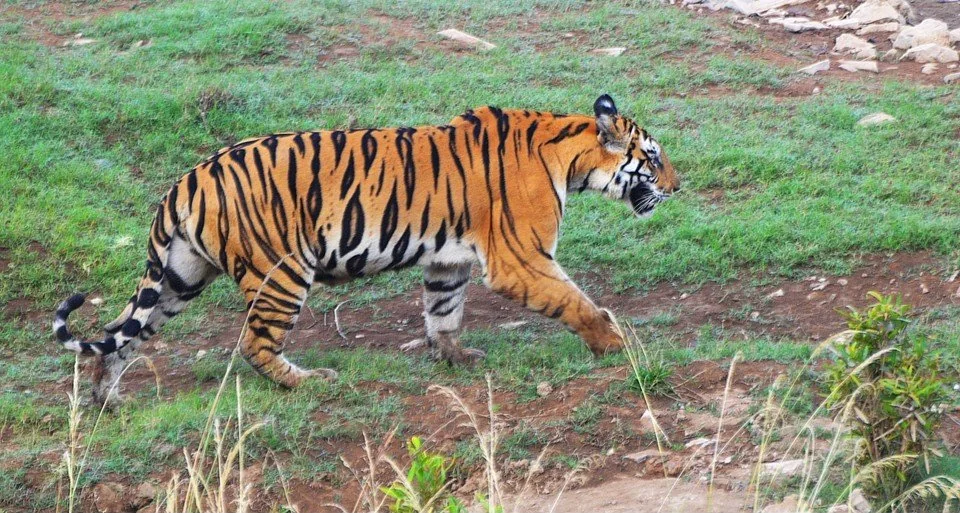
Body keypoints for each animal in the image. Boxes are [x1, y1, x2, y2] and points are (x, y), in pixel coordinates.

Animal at [53, 94, 679, 405]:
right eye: (652, 156)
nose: (678, 185)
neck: (568, 157)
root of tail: (185, 180)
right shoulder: (520, 259)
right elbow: (578, 302)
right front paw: (616, 344)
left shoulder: (448, 259)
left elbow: (443, 312)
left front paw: (455, 358)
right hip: (281, 273)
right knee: (253, 343)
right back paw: (306, 381)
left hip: (180, 275)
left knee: (118, 335)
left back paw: (106, 399)